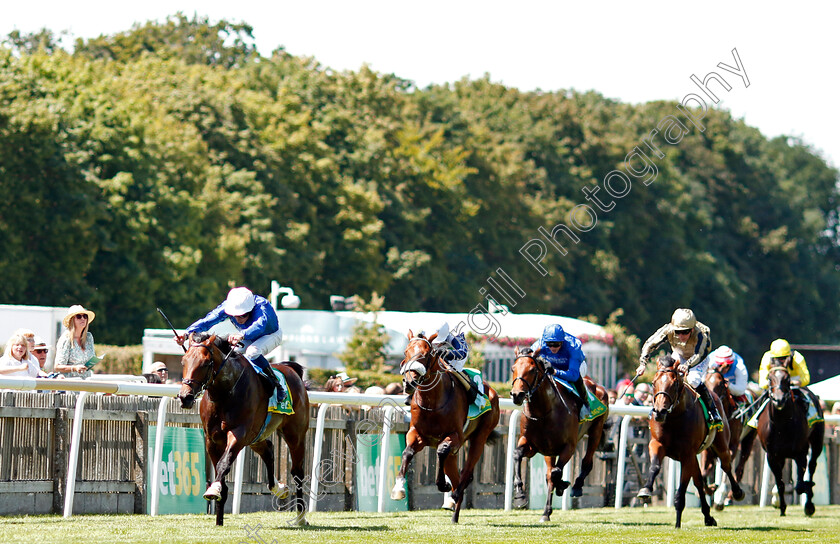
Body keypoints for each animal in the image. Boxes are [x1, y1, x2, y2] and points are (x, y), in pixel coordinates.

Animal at [176, 334, 310, 524]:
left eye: (205, 363)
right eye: (183, 361)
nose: (185, 397)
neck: (224, 393)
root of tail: (292, 370)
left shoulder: (238, 434)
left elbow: (224, 464)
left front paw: (213, 490)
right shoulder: (212, 439)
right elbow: (220, 472)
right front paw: (219, 519)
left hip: (294, 434)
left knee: (297, 472)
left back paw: (300, 516)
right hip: (256, 435)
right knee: (268, 450)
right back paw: (279, 488)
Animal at [388, 330, 498, 524]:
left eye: (426, 354)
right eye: (406, 352)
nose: (409, 382)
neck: (432, 402)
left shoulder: (455, 436)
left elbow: (441, 450)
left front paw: (442, 484)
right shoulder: (417, 433)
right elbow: (407, 452)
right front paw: (398, 489)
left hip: (480, 437)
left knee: (465, 474)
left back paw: (455, 497)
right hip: (454, 454)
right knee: (456, 475)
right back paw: (454, 513)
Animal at [508, 348, 608, 524]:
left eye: (532, 369)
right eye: (514, 368)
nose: (517, 394)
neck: (543, 412)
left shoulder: (568, 446)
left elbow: (556, 473)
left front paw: (562, 485)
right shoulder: (531, 444)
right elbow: (517, 455)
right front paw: (519, 495)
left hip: (596, 431)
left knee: (586, 462)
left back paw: (576, 487)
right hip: (550, 451)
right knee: (550, 474)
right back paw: (546, 512)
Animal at [636, 352, 740, 528]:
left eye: (674, 383)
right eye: (653, 382)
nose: (659, 412)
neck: (674, 417)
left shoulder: (687, 455)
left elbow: (682, 490)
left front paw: (677, 523)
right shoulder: (657, 444)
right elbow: (655, 466)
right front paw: (645, 490)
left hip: (721, 445)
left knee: (726, 466)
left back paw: (737, 493)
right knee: (698, 481)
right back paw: (708, 516)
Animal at [756, 368, 824, 516]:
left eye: (787, 379)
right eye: (769, 379)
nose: (779, 400)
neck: (781, 425)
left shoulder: (801, 453)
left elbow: (799, 485)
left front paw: (807, 493)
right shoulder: (772, 456)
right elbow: (780, 483)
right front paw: (781, 507)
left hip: (817, 440)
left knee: (812, 466)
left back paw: (809, 502)